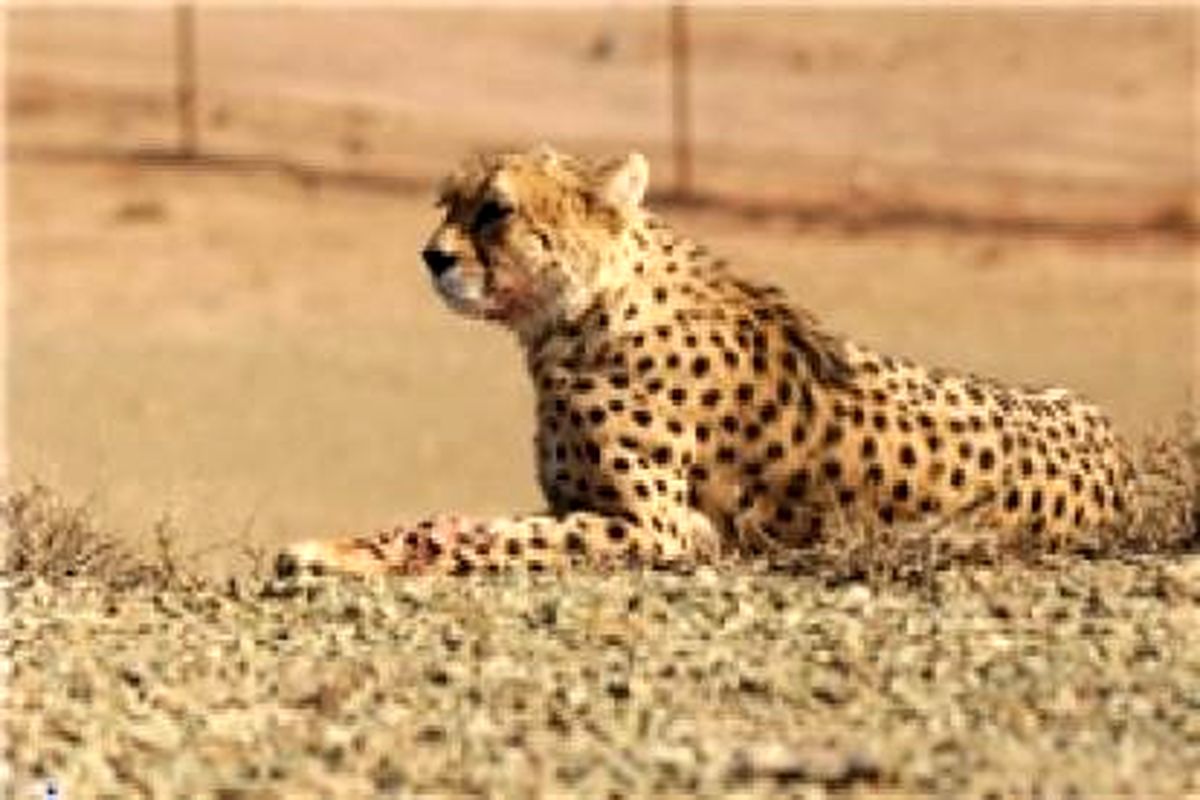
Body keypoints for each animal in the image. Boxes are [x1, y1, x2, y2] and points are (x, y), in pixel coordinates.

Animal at [276, 145, 1137, 582]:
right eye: (445, 205)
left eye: (495, 210)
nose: (432, 257)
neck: (584, 313)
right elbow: (453, 523)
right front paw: (343, 548)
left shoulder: (661, 530)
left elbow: (486, 540)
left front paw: (343, 559)